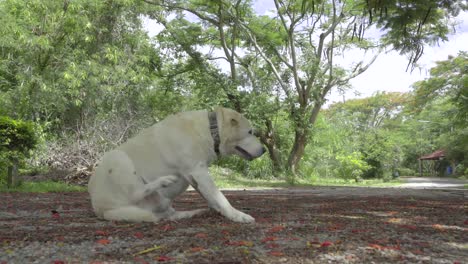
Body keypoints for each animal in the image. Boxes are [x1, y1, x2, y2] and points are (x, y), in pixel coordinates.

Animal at [88, 106, 264, 223]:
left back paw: (191, 213)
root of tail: (103, 211)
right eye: (250, 132)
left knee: (168, 215)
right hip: (118, 158)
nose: (263, 150)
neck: (210, 130)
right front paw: (237, 215)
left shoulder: (195, 177)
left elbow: (211, 197)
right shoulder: (199, 172)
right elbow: (220, 198)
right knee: (137, 191)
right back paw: (164, 181)